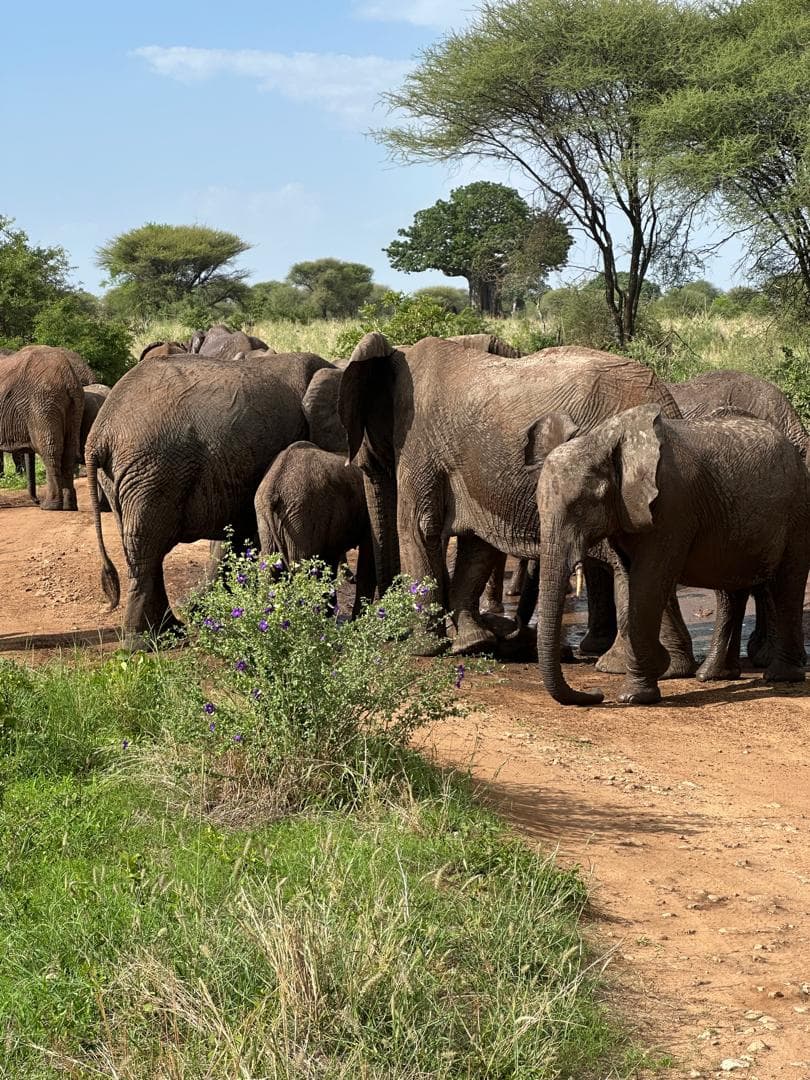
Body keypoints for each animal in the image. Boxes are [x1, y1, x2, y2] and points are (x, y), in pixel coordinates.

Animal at [0, 346, 87, 510]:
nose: (36, 501)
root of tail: (68, 377)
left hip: (42, 402)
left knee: (49, 449)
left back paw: (50, 506)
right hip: (75, 404)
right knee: (69, 449)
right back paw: (68, 506)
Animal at [86, 351, 333, 634]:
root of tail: (99, 434)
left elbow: (239, 533)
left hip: (127, 476)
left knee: (142, 547)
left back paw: (169, 631)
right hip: (153, 470)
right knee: (145, 548)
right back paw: (147, 637)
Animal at [255, 440, 375, 618]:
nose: (352, 578)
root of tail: (272, 491)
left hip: (267, 516)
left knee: (270, 567)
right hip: (303, 513)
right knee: (302, 568)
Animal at [338, 333, 694, 670]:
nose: (384, 629)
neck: (400, 353)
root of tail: (666, 400)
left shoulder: (418, 439)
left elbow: (417, 526)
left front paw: (422, 649)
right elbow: (477, 542)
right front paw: (473, 642)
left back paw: (618, 664)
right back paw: (667, 665)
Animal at [529, 403, 809, 705]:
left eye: (581, 507)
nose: (596, 694)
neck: (604, 440)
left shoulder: (671, 507)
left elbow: (648, 582)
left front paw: (634, 697)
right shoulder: (628, 510)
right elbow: (629, 579)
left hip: (797, 509)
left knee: (786, 585)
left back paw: (780, 676)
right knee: (730, 591)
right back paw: (713, 675)